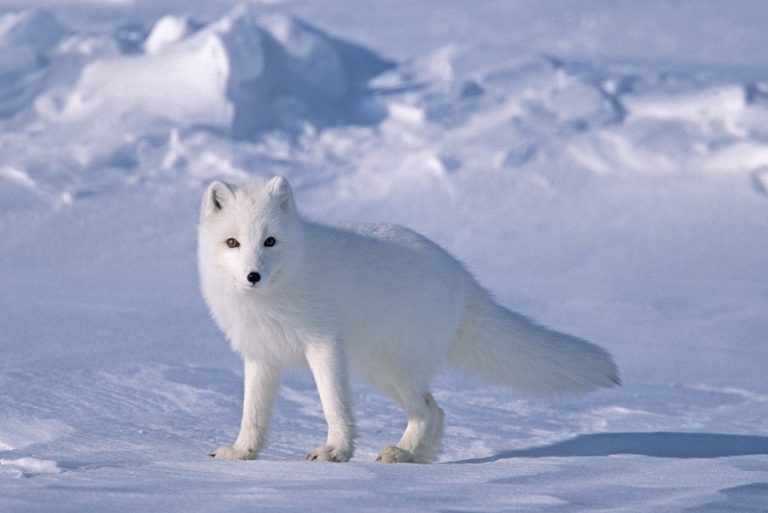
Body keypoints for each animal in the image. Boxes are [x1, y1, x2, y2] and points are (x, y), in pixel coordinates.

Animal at [196, 176, 616, 464]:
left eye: (270, 241)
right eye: (233, 243)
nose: (253, 276)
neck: (275, 293)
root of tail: (465, 279)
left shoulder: (324, 345)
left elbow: (335, 406)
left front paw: (335, 452)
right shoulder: (261, 355)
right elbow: (252, 413)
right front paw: (242, 452)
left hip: (391, 367)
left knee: (429, 410)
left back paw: (403, 454)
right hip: (378, 369)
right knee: (436, 410)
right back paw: (416, 456)